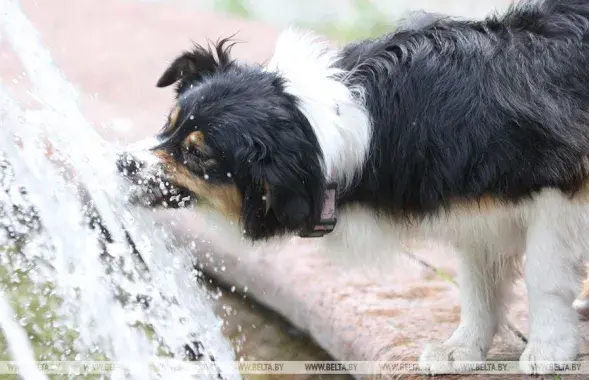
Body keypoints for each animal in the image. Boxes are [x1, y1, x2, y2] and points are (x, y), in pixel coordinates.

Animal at [116, 0, 589, 374]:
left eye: (198, 155)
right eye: (168, 125)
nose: (121, 163)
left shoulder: (560, 192)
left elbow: (543, 276)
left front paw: (549, 350)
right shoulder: (470, 204)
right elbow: (478, 282)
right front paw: (462, 350)